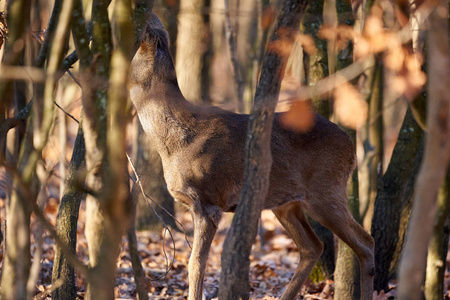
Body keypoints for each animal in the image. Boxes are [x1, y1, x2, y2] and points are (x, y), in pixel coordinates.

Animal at [130, 11, 376, 300]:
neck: (172, 144)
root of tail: (351, 145)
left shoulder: (209, 201)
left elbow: (195, 263)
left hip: (326, 190)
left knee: (365, 242)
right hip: (286, 203)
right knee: (312, 246)